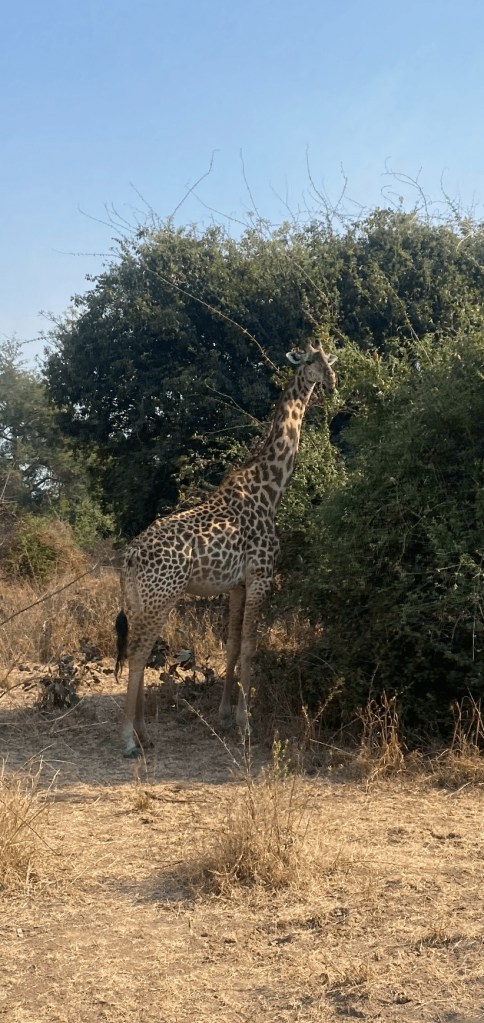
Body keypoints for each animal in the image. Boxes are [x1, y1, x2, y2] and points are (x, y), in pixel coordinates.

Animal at [115, 341, 337, 757]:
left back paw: (144, 735)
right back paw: (129, 740)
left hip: (139, 600)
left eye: (330, 359)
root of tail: (130, 556)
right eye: (311, 360)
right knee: (138, 654)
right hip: (160, 597)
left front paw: (224, 714)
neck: (270, 490)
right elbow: (250, 646)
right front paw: (246, 724)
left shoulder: (237, 584)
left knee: (139, 651)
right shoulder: (262, 575)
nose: (331, 382)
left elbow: (232, 644)